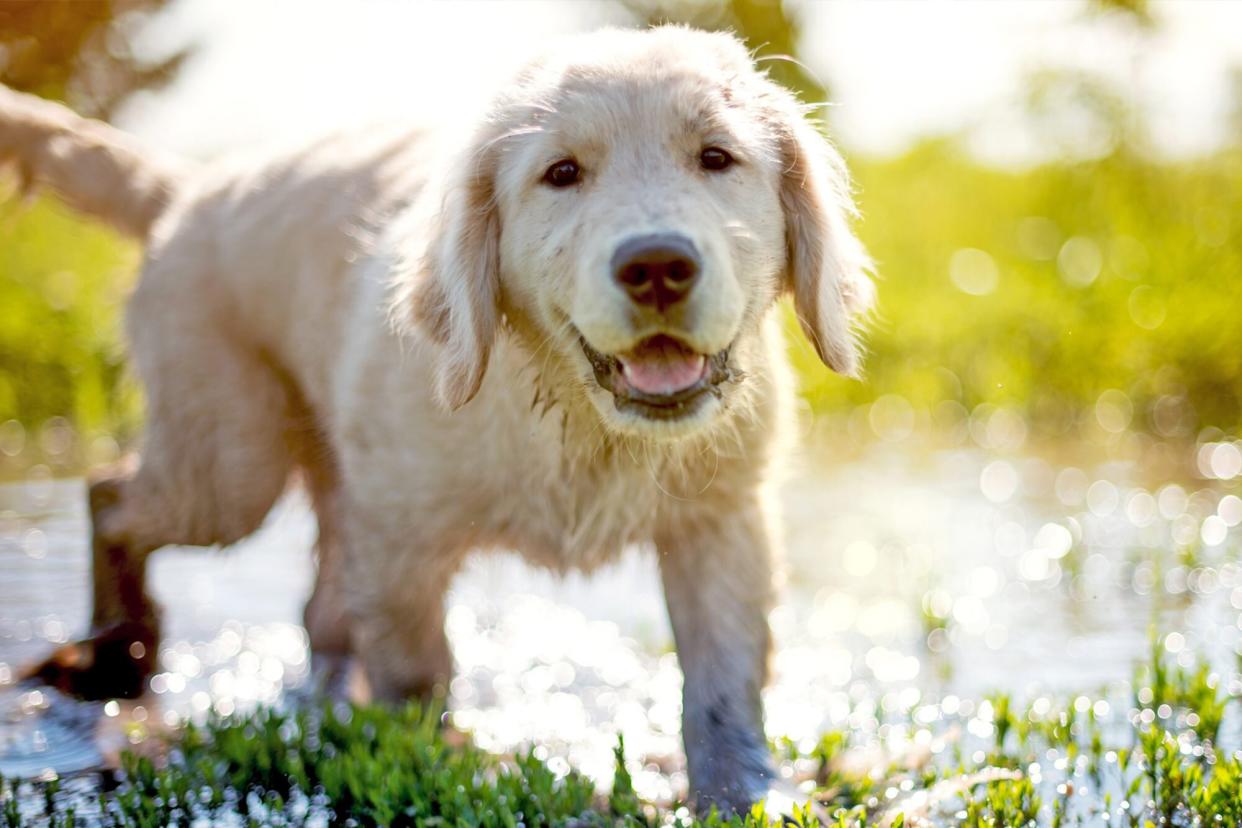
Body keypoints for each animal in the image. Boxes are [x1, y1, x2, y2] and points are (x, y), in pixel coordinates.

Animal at [2, 27, 874, 814]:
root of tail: (188, 189)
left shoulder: (723, 519)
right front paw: (435, 762)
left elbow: (725, 680)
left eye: (717, 158)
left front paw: (746, 792)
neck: (582, 420)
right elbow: (416, 670)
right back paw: (114, 658)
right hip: (231, 460)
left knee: (316, 609)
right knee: (111, 494)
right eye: (562, 173)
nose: (657, 264)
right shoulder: (402, 531)